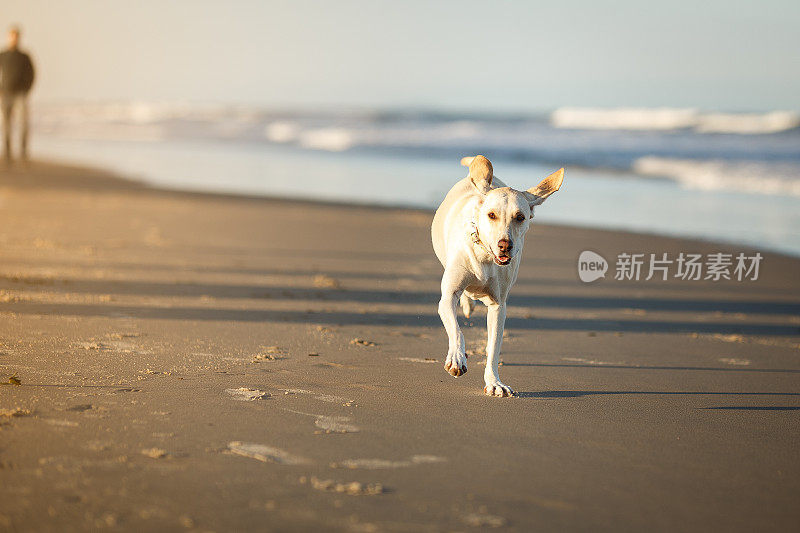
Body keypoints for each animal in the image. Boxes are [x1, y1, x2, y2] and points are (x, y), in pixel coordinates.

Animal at [432, 154, 564, 394]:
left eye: (520, 217)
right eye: (491, 215)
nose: (505, 245)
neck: (486, 257)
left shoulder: (498, 306)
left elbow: (493, 347)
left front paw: (494, 382)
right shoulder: (447, 297)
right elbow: (456, 330)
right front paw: (456, 359)